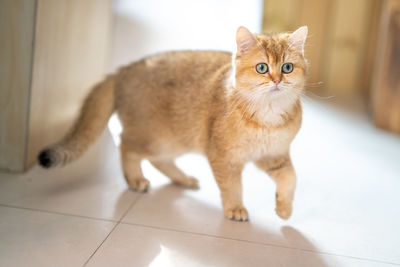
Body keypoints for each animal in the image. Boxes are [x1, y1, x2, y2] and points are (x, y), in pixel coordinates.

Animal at [37, 26, 308, 222]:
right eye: (262, 68)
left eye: (287, 67)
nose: (277, 81)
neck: (268, 117)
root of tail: (124, 69)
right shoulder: (223, 156)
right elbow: (232, 186)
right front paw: (235, 208)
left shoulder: (273, 155)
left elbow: (291, 178)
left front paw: (284, 208)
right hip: (155, 137)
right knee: (126, 145)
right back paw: (135, 179)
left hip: (176, 140)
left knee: (158, 160)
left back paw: (183, 179)